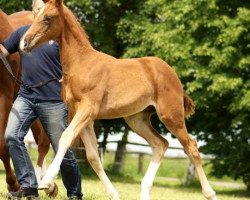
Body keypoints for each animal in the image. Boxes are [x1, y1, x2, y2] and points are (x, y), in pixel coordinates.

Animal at [21, 0, 217, 200]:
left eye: (48, 17)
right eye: (36, 15)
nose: (24, 43)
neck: (81, 63)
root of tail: (173, 75)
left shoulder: (88, 109)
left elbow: (66, 137)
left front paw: (46, 182)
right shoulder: (83, 116)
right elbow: (93, 156)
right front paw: (113, 193)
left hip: (171, 115)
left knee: (191, 147)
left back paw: (210, 193)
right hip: (137, 119)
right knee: (160, 144)